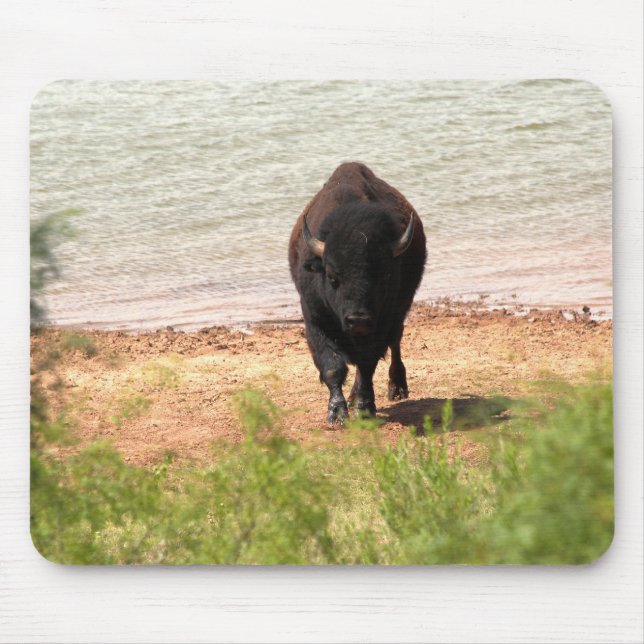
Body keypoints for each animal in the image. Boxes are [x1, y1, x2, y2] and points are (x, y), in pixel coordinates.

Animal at [288, 162, 426, 423]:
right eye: (333, 276)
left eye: (383, 275)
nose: (358, 320)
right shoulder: (316, 320)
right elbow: (332, 366)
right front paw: (337, 413)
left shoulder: (382, 324)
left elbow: (366, 364)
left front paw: (363, 408)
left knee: (395, 343)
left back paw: (397, 388)